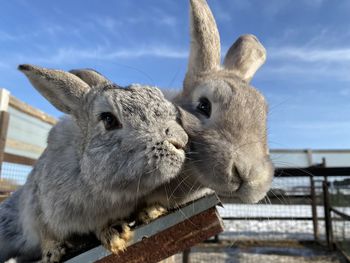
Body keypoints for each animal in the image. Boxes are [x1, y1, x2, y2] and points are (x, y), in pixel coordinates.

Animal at [0, 64, 189, 263]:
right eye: (108, 119)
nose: (182, 140)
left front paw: (151, 211)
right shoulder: (41, 206)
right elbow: (49, 232)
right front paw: (115, 233)